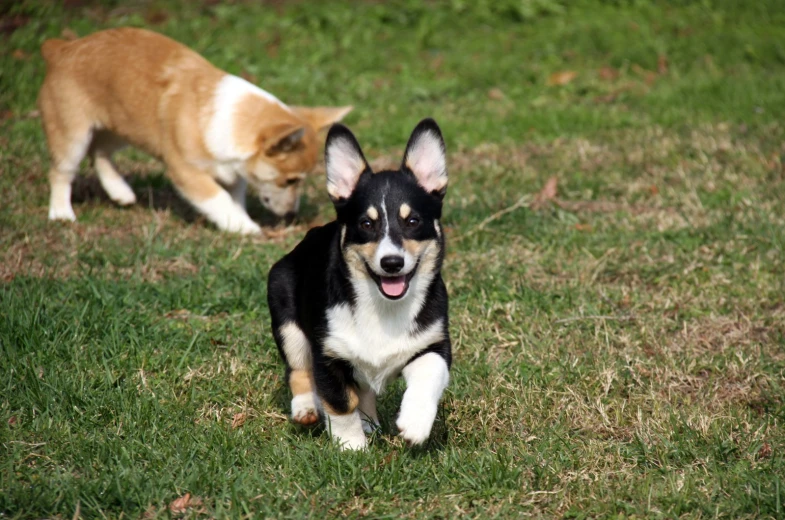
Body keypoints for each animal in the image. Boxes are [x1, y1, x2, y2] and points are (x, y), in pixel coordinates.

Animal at [38, 26, 350, 234]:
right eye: (290, 180)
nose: (292, 216)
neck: (234, 119)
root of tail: (61, 49)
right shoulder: (186, 172)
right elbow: (218, 199)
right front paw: (244, 227)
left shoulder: (234, 173)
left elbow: (234, 197)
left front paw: (239, 219)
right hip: (73, 135)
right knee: (62, 171)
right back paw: (62, 213)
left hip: (122, 126)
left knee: (101, 152)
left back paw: (120, 192)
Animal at [266, 120, 450, 448]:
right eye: (366, 224)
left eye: (413, 221)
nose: (392, 263)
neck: (383, 306)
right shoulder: (327, 354)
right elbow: (340, 402)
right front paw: (351, 447)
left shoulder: (434, 343)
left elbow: (429, 373)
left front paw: (415, 424)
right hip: (286, 318)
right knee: (297, 369)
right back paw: (306, 409)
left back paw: (369, 422)